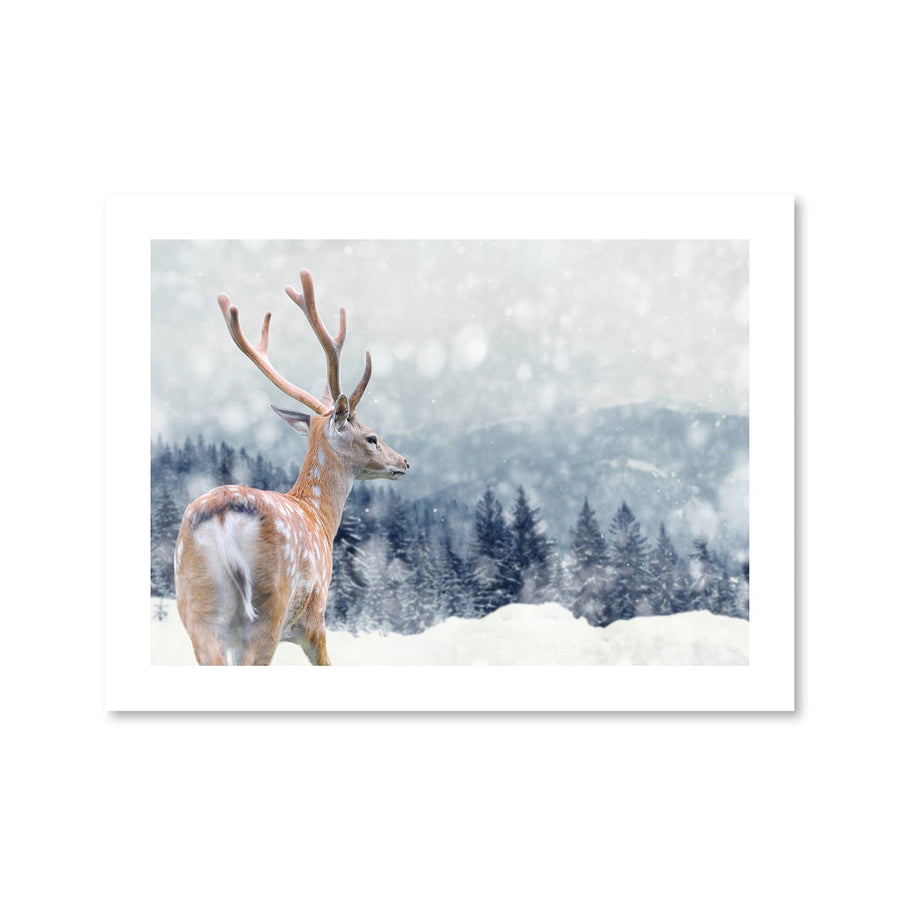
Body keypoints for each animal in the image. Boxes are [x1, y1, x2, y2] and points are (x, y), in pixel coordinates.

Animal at [174, 269, 409, 665]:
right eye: (372, 437)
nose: (404, 462)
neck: (319, 517)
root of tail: (223, 518)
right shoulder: (315, 619)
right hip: (269, 608)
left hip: (196, 610)